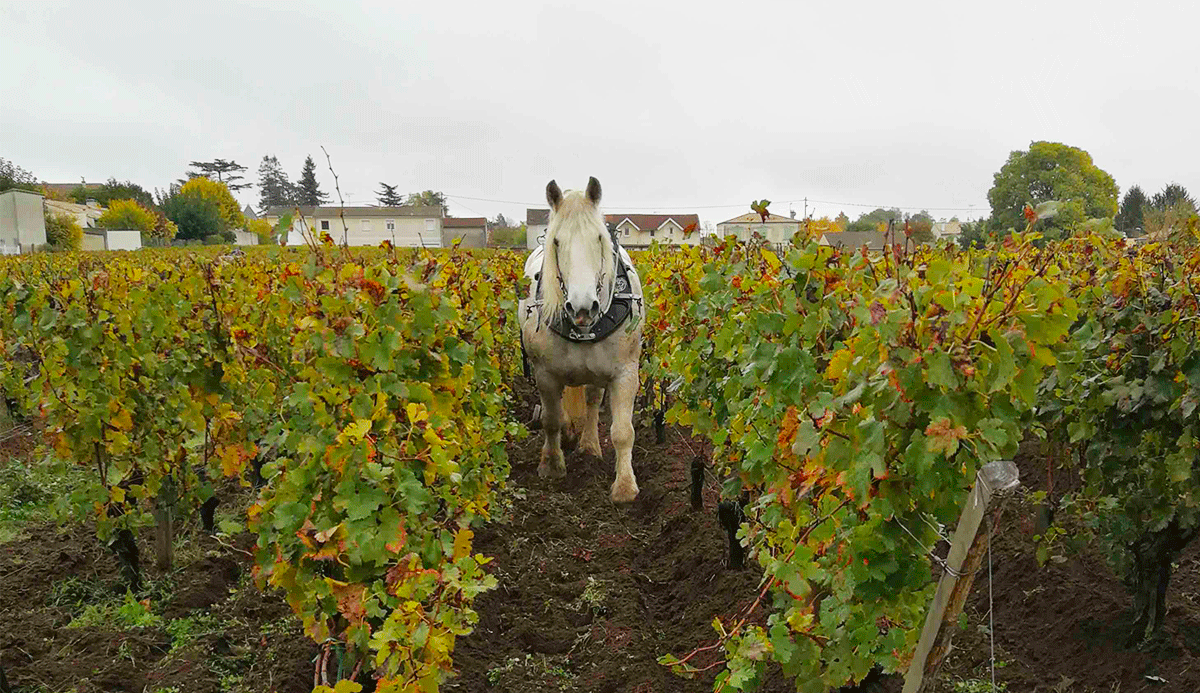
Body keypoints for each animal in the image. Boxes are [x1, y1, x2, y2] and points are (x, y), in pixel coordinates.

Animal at [518, 177, 643, 501]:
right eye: (557, 242)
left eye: (599, 239)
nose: (583, 307)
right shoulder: (545, 374)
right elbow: (550, 422)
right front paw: (552, 466)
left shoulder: (625, 372)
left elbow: (623, 431)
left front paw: (625, 486)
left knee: (591, 401)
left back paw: (588, 446)